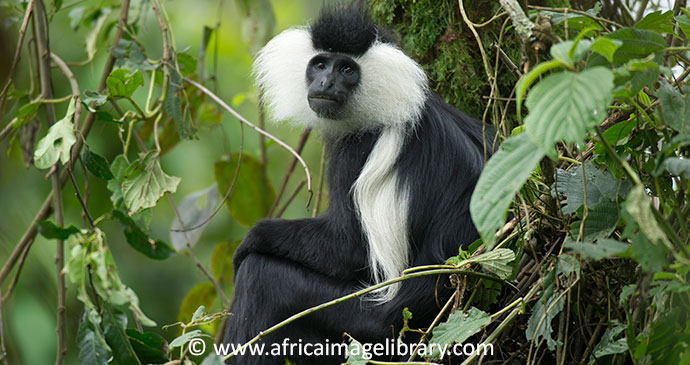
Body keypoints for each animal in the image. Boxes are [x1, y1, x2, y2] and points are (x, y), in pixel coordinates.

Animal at [224, 3, 490, 364]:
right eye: (320, 64)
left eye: (347, 70)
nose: (326, 82)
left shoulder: (357, 147)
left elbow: (347, 246)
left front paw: (252, 239)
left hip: (367, 331)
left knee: (264, 278)